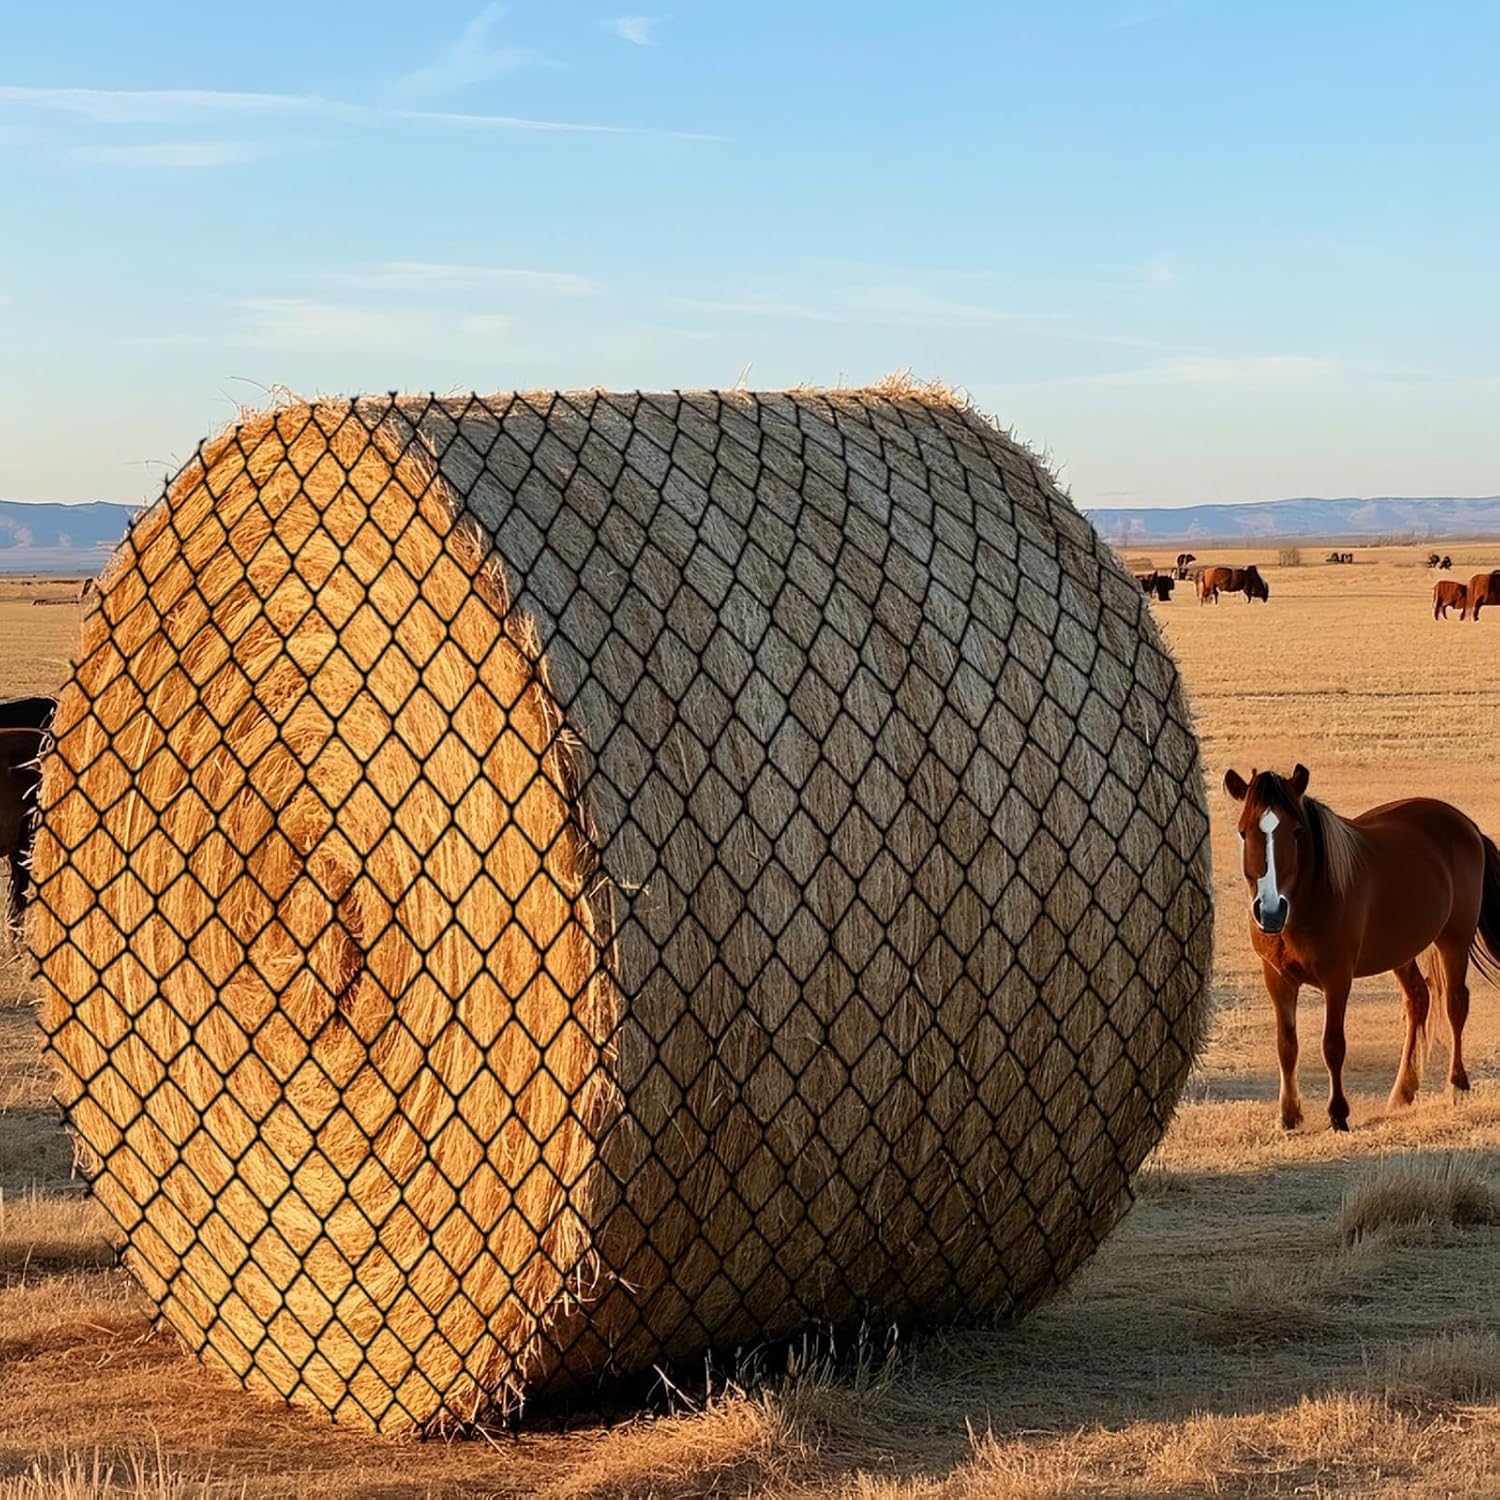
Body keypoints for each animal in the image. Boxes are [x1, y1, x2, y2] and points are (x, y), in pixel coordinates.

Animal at [1224, 764, 1500, 1132]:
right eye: (1243, 832)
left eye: (1296, 832)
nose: (1269, 911)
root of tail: (1465, 824)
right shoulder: (1277, 978)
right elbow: (1287, 1045)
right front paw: (1289, 1114)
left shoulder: (1337, 978)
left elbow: (1333, 1045)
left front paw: (1338, 1113)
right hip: (1402, 949)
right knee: (1418, 1000)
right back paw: (1402, 1093)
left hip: (1454, 939)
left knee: (1455, 1004)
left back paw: (1456, 1085)